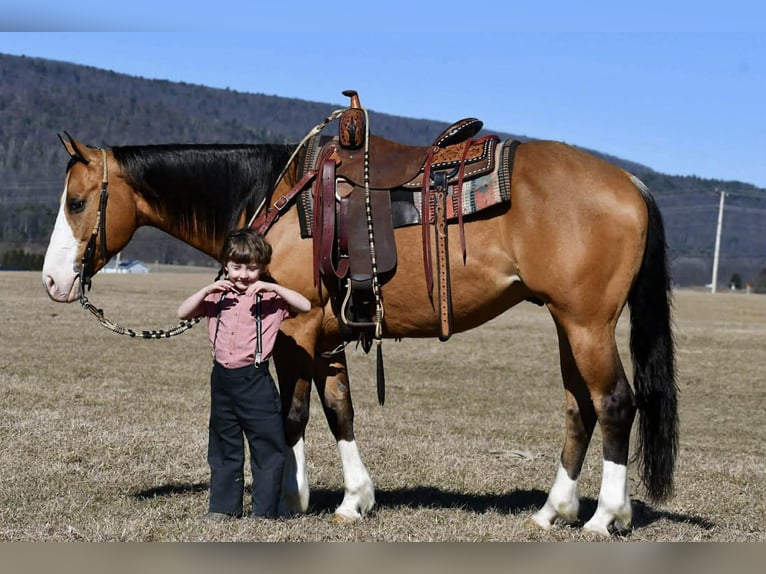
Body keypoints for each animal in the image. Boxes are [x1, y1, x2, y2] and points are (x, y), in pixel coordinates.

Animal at [42, 114, 677, 536]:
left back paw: (605, 517)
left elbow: (292, 415)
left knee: (615, 403)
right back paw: (553, 511)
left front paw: (289, 498)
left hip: (587, 324)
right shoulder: (327, 338)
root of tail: (630, 183)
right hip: (568, 324)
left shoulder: (294, 332)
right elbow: (339, 410)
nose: (52, 281)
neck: (278, 196)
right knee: (580, 407)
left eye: (76, 202)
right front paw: (353, 500)